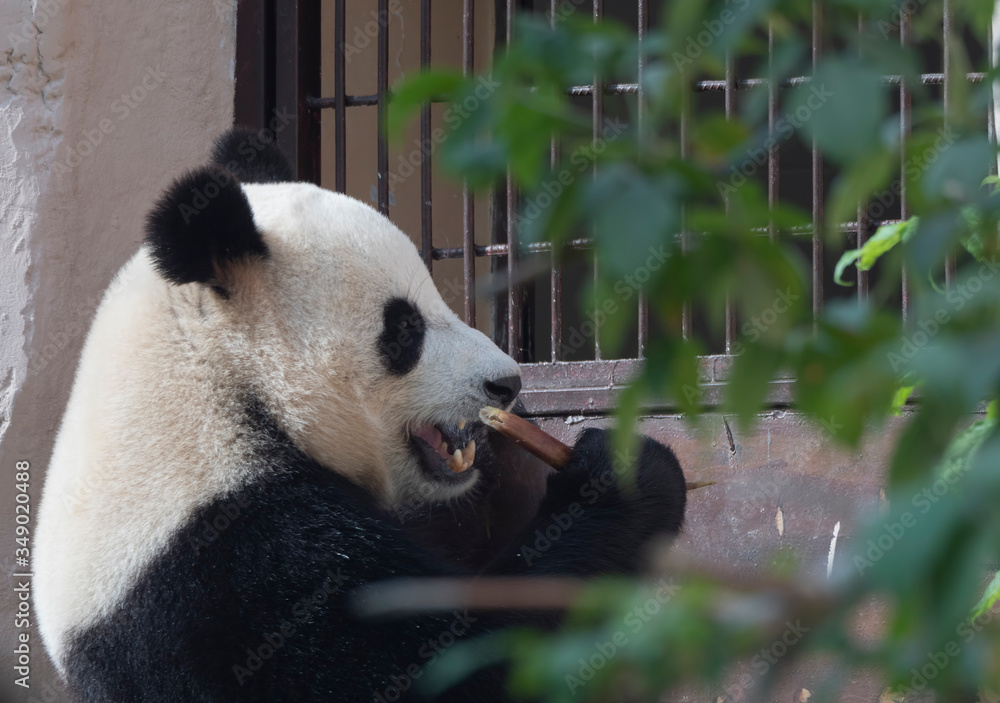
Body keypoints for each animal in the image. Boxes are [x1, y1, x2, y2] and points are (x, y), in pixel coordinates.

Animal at [34, 128, 688, 702]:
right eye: (404, 329)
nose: (507, 383)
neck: (218, 384)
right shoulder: (236, 575)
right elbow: (455, 666)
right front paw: (622, 475)